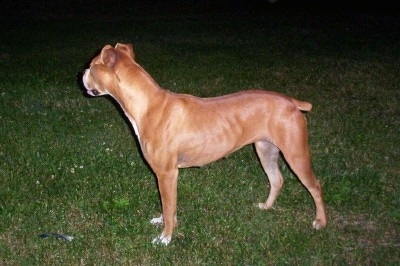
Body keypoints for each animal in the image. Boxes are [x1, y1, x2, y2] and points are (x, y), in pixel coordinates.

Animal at [83, 43, 326, 245]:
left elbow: (168, 206)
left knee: (315, 186)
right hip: (265, 150)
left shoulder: (166, 174)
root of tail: (291, 101)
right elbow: (169, 207)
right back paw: (266, 206)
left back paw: (321, 222)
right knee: (277, 180)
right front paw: (165, 223)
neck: (147, 104)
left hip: (296, 155)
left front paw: (165, 238)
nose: (82, 74)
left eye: (92, 67)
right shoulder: (167, 176)